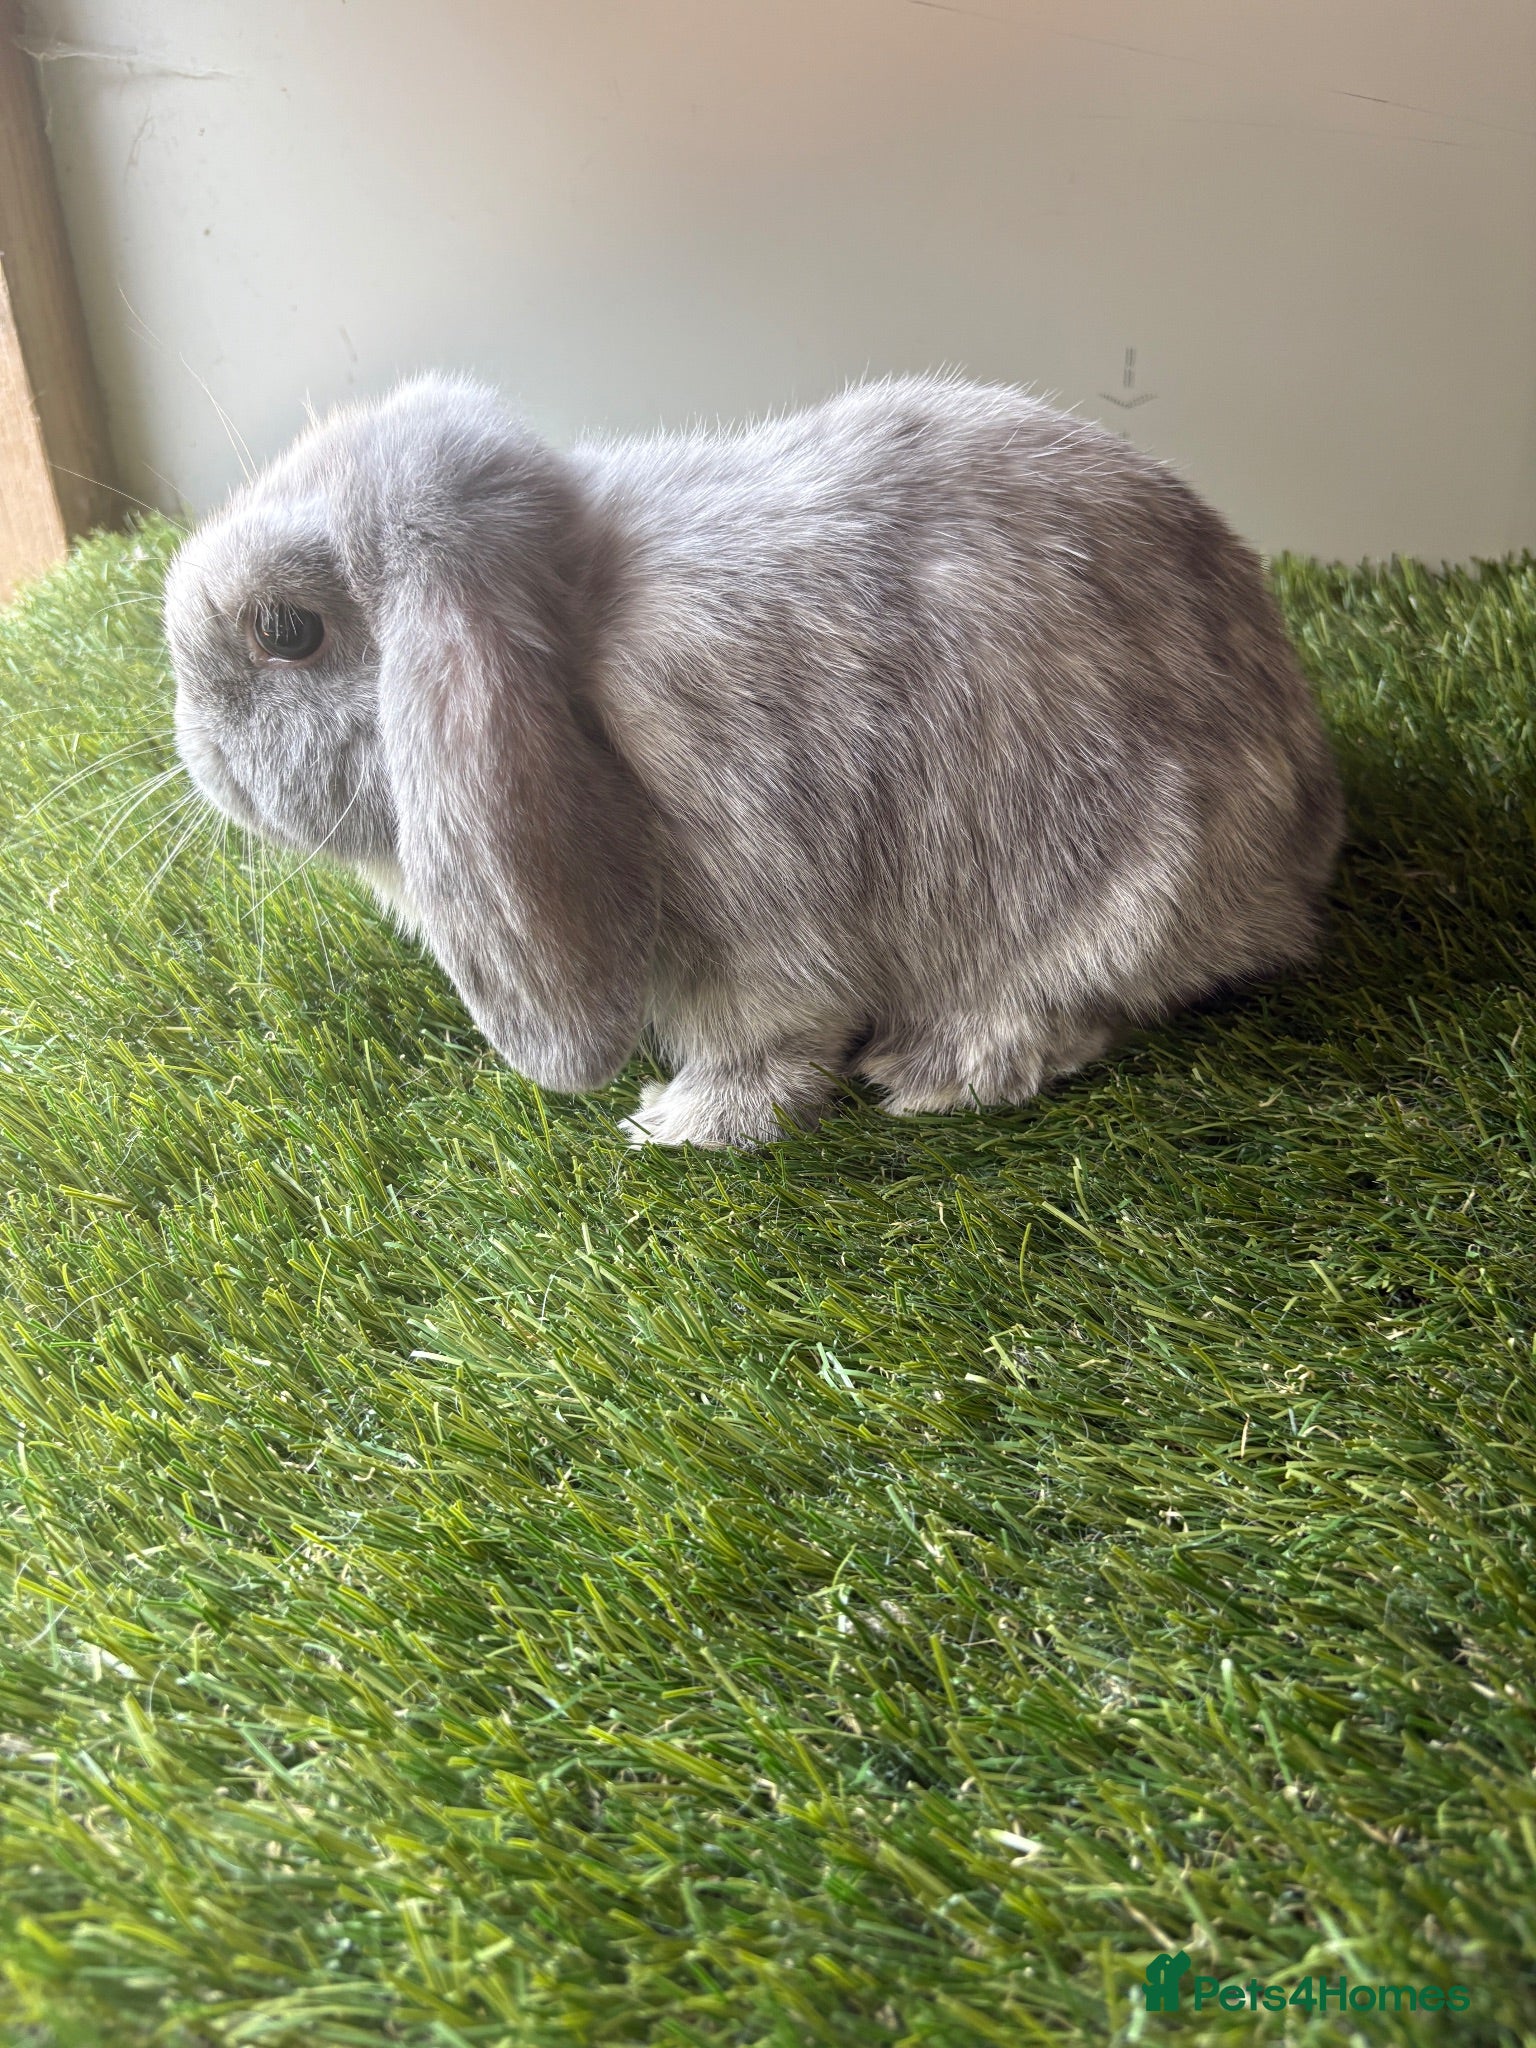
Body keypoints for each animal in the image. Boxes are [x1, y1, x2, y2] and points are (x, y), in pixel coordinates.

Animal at [165, 371, 1344, 1148]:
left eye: (287, 630)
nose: (194, 749)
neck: (576, 643)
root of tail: (1304, 845)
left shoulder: (753, 920)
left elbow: (764, 1047)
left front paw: (676, 1125)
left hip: (1116, 887)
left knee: (1071, 1004)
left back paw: (935, 1070)